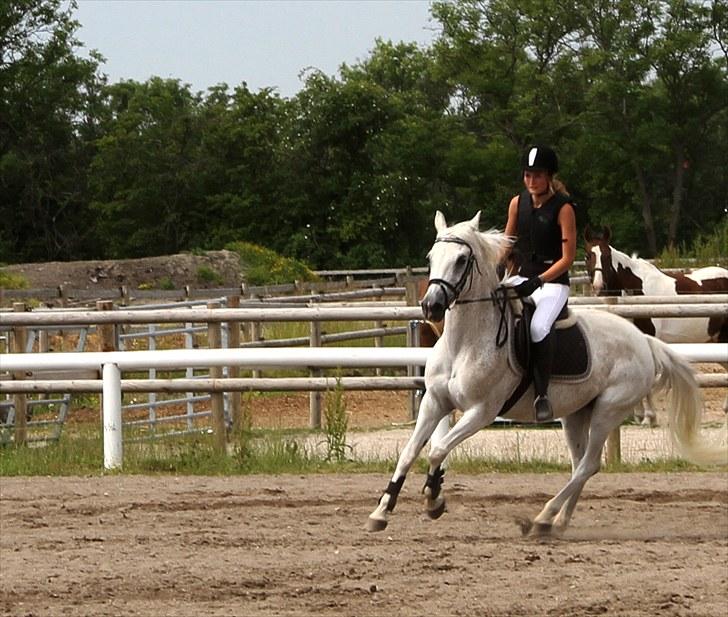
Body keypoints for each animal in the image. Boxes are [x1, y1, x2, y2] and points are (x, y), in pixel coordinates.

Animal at [584, 224, 728, 416]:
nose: (599, 287)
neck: (635, 291)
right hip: (715, 340)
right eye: (587, 255)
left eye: (607, 255)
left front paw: (648, 416)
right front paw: (637, 414)